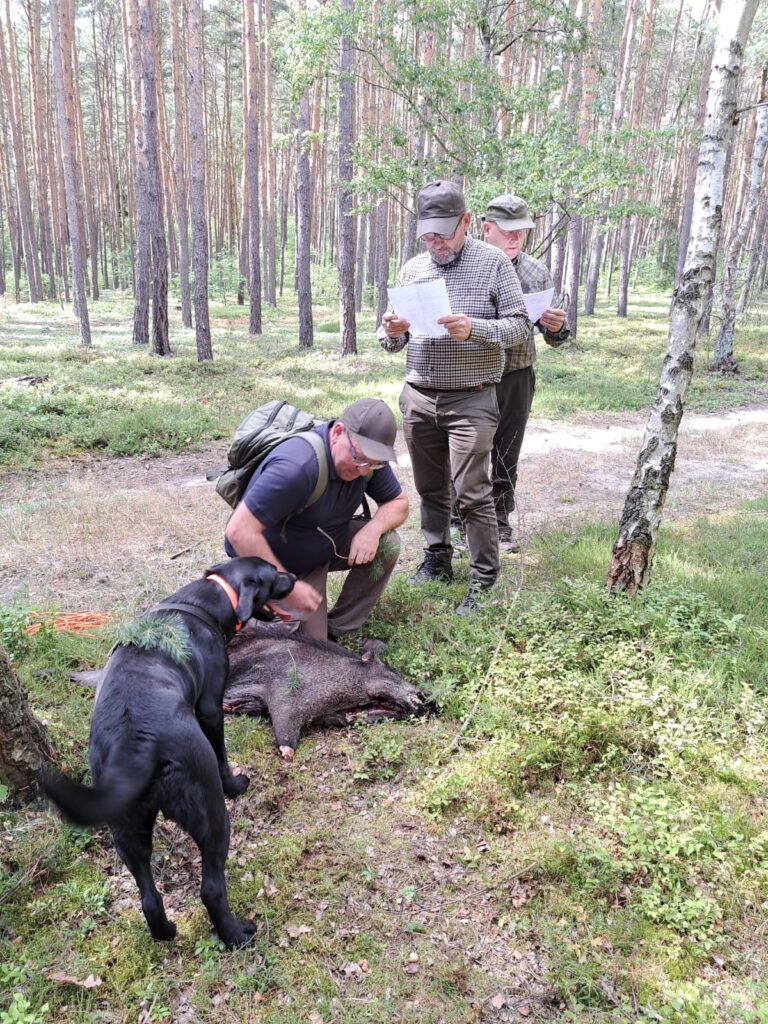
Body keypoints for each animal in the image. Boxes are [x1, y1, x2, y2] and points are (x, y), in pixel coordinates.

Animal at [41, 557, 294, 946]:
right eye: (273, 574)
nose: (293, 576)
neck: (210, 598)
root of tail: (137, 746)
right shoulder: (211, 706)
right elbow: (222, 754)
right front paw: (236, 784)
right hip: (210, 813)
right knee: (211, 889)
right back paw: (236, 934)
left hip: (127, 831)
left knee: (148, 897)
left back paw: (165, 931)